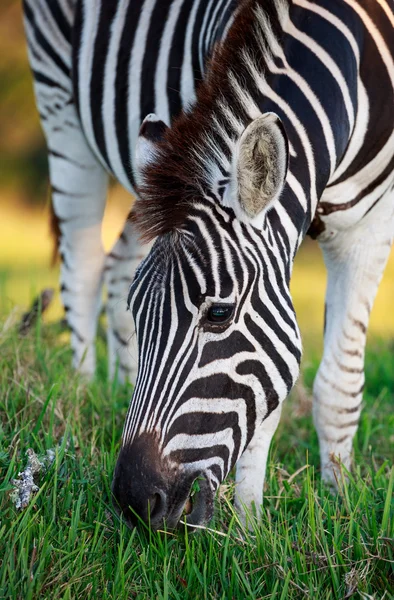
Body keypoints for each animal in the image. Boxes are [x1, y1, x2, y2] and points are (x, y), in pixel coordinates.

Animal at [24, 0, 394, 528]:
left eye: (219, 313)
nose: (136, 501)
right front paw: (251, 525)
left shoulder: (370, 227)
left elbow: (339, 387)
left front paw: (336, 504)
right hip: (59, 98)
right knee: (84, 268)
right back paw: (78, 395)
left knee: (114, 265)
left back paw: (114, 388)